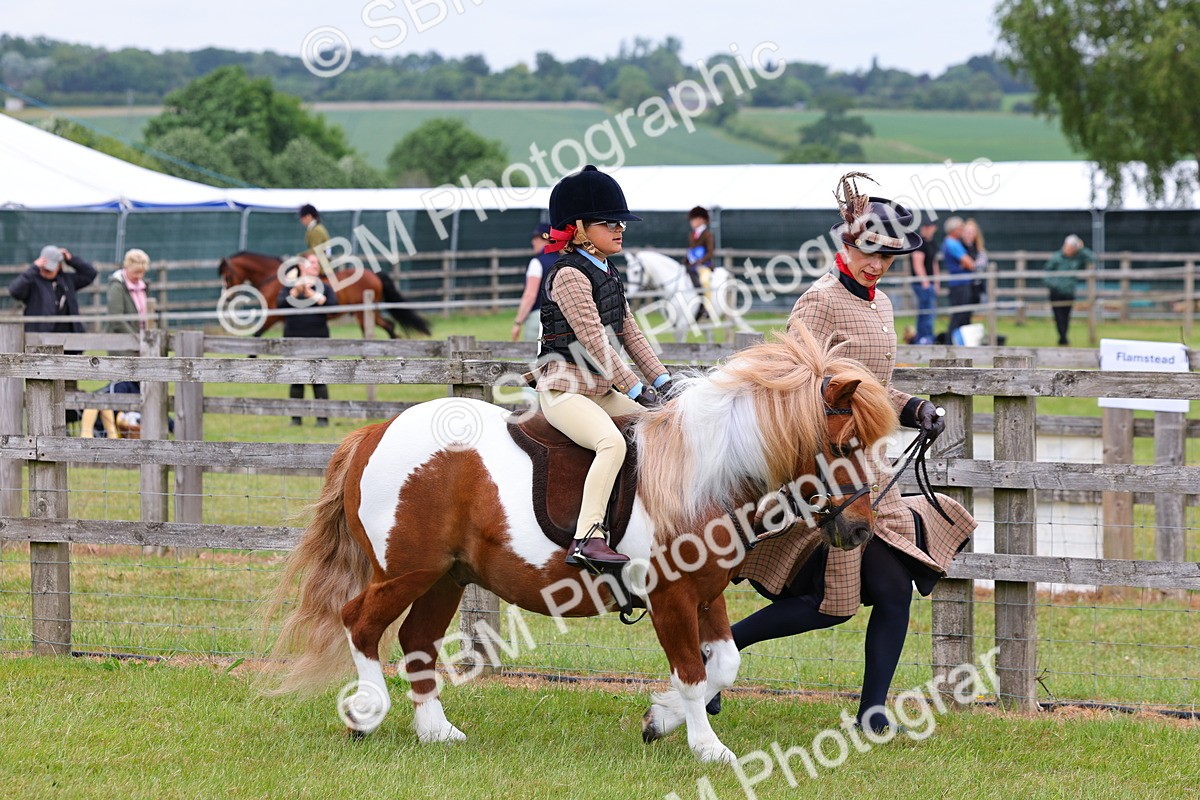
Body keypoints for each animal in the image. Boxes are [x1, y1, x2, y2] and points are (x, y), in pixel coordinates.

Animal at [217, 252, 431, 338]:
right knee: (388, 326)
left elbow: (257, 335)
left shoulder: (274, 316)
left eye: (227, 275)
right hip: (369, 313)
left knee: (382, 328)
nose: (227, 298)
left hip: (363, 313)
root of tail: (373, 274)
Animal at [264, 325, 898, 763]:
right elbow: (694, 674)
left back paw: (436, 731)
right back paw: (366, 713)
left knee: (417, 642)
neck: (701, 472)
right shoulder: (671, 599)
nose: (860, 531)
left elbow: (724, 665)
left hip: (447, 576)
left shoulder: (708, 594)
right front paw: (707, 747)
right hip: (406, 572)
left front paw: (659, 720)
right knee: (361, 624)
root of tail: (376, 432)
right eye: (843, 444)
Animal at [624, 249, 756, 343]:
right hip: (705, 320)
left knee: (728, 333)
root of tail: (728, 274)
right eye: (627, 271)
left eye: (636, 271)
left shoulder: (682, 323)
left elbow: (681, 344)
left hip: (727, 315)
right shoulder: (673, 322)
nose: (629, 292)